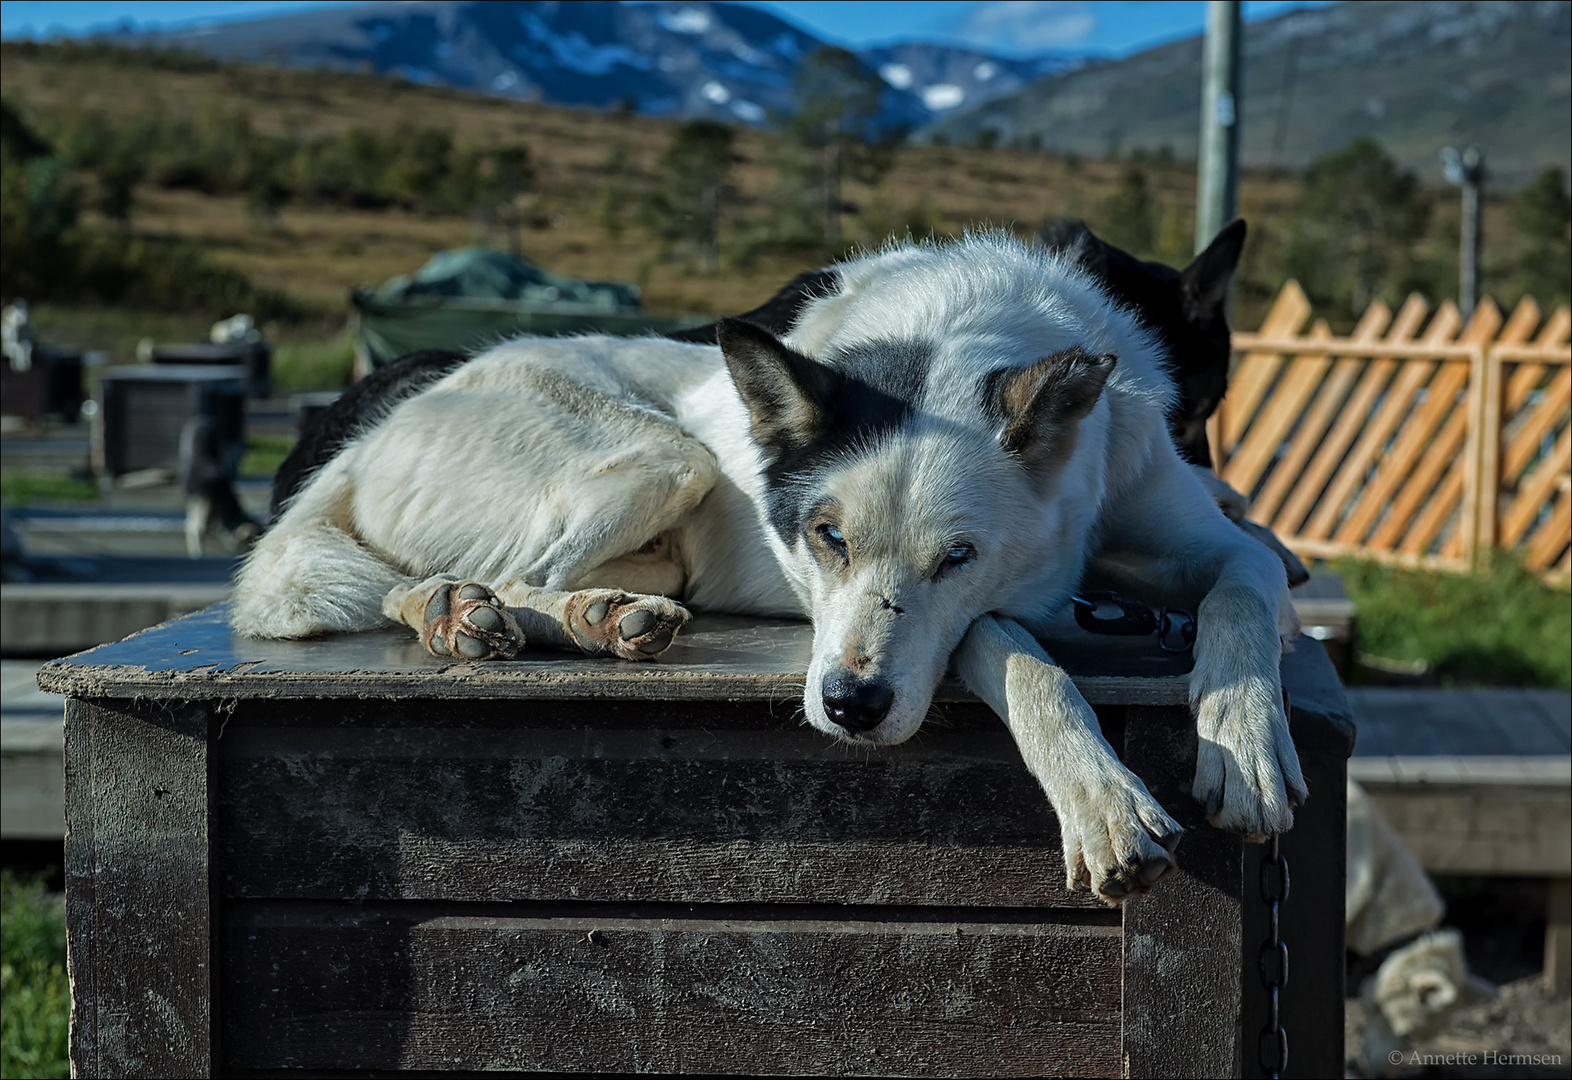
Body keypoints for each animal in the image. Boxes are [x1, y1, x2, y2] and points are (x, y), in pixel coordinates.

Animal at [232, 234, 1307, 905]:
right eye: (826, 536)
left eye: (957, 555)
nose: (852, 708)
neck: (958, 326)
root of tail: (371, 433)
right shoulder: (921, 618)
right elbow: (1016, 652)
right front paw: (1101, 799)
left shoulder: (1192, 538)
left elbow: (1246, 591)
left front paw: (1242, 737)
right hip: (665, 457)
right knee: (464, 573)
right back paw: (487, 610)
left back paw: (578, 614)